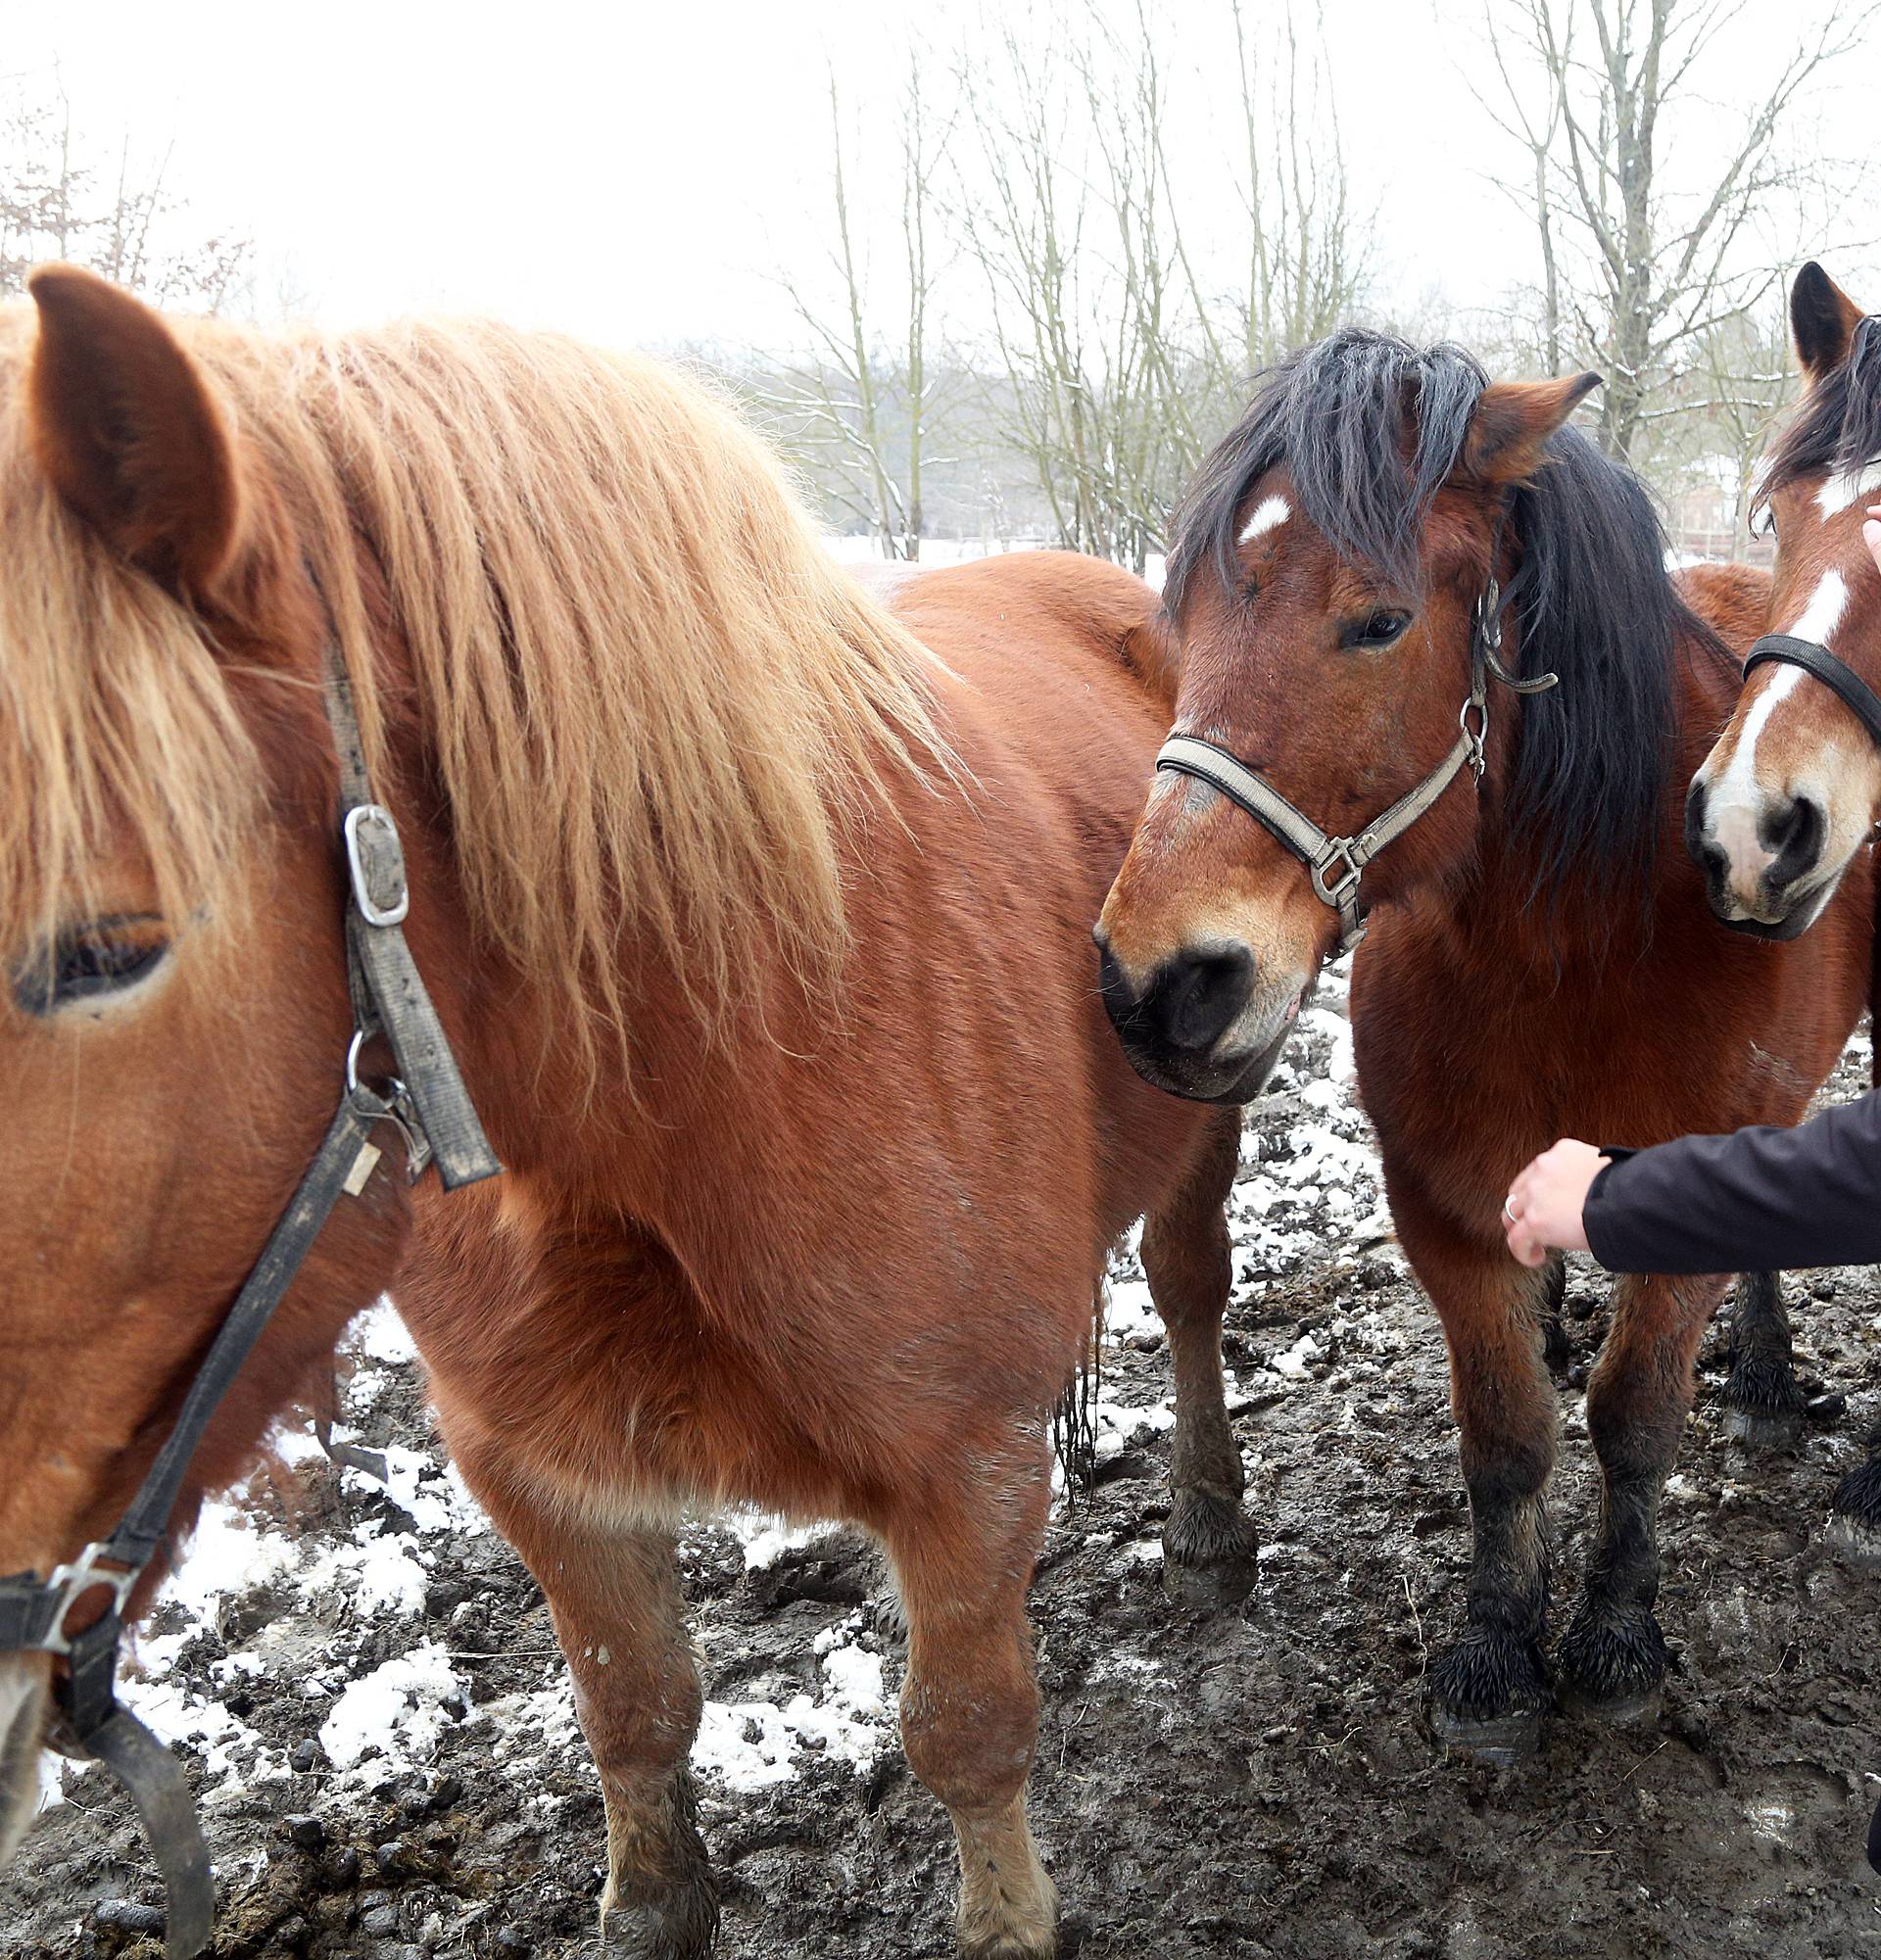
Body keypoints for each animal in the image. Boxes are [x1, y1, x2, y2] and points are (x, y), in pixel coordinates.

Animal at [7, 264, 1262, 1959]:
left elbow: (968, 1735)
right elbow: (634, 1711)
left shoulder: (969, 1468)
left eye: (103, 951)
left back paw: (1207, 1519)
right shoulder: (539, 1476)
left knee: (1192, 1293)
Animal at [1097, 329, 1873, 1771]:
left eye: (1380, 620)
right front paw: (1496, 1650)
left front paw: (1616, 1638)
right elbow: (1505, 1433)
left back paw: (1765, 1382)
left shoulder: (1677, 1184)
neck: (1580, 935)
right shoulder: (1441, 1197)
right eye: (1188, 618)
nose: (1158, 985)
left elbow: (1635, 1419)